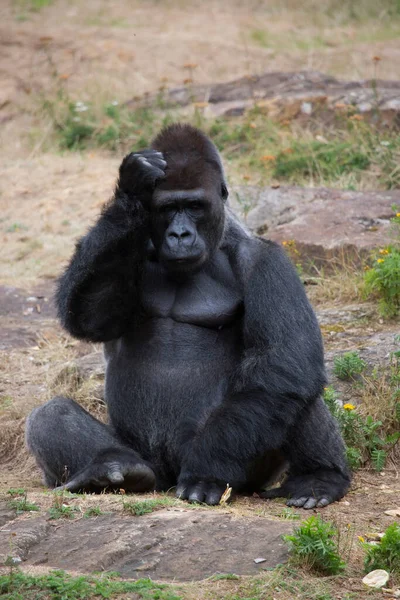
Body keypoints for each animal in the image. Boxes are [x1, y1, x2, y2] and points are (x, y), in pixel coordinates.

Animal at [25, 124, 350, 508]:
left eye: (194, 206)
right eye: (167, 208)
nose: (179, 234)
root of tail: (166, 479)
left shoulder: (265, 261)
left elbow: (282, 360)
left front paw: (207, 472)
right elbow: (90, 316)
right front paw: (130, 189)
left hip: (244, 470)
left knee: (287, 385)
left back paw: (320, 478)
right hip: (148, 463)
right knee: (50, 415)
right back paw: (112, 467)